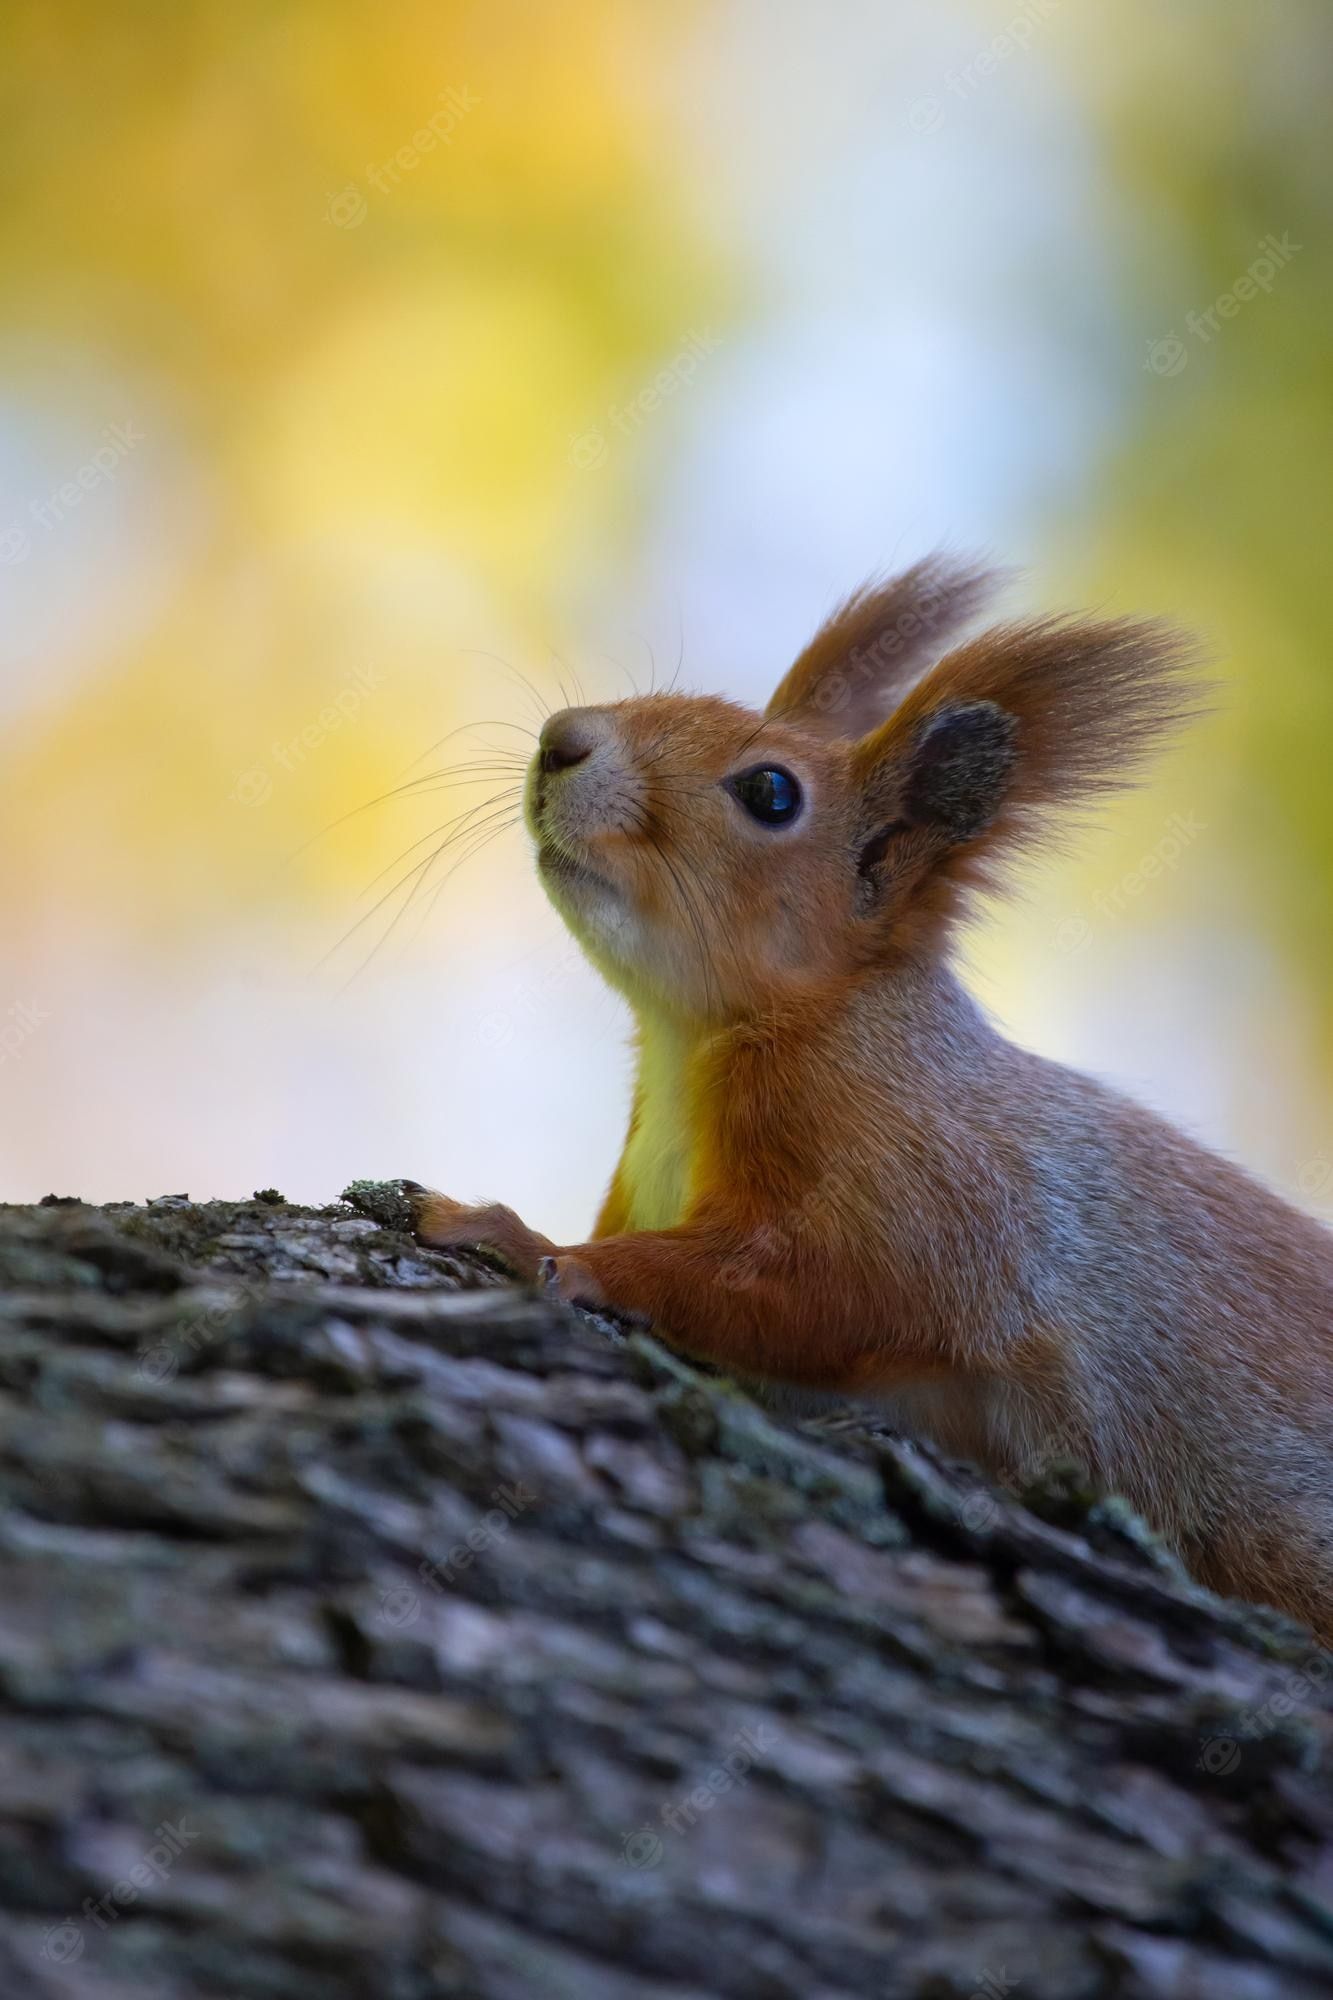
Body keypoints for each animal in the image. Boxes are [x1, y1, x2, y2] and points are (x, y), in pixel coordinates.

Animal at [407, 555, 1333, 1638]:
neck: (692, 1047)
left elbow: (821, 1291)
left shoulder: (927, 1185)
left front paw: (531, 1244)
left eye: (770, 791)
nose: (562, 739)